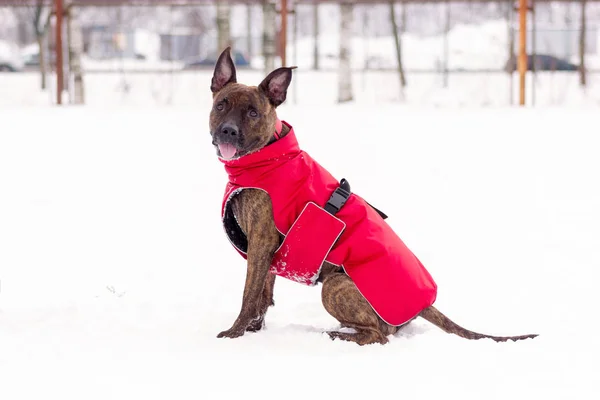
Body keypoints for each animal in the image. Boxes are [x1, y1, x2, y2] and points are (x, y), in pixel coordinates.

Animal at [209, 47, 536, 346]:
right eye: (222, 105)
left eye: (253, 112)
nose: (228, 131)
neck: (269, 158)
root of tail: (424, 305)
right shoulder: (265, 252)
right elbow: (264, 294)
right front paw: (253, 330)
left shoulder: (261, 242)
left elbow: (249, 294)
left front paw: (234, 334)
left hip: (335, 285)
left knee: (379, 336)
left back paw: (338, 335)